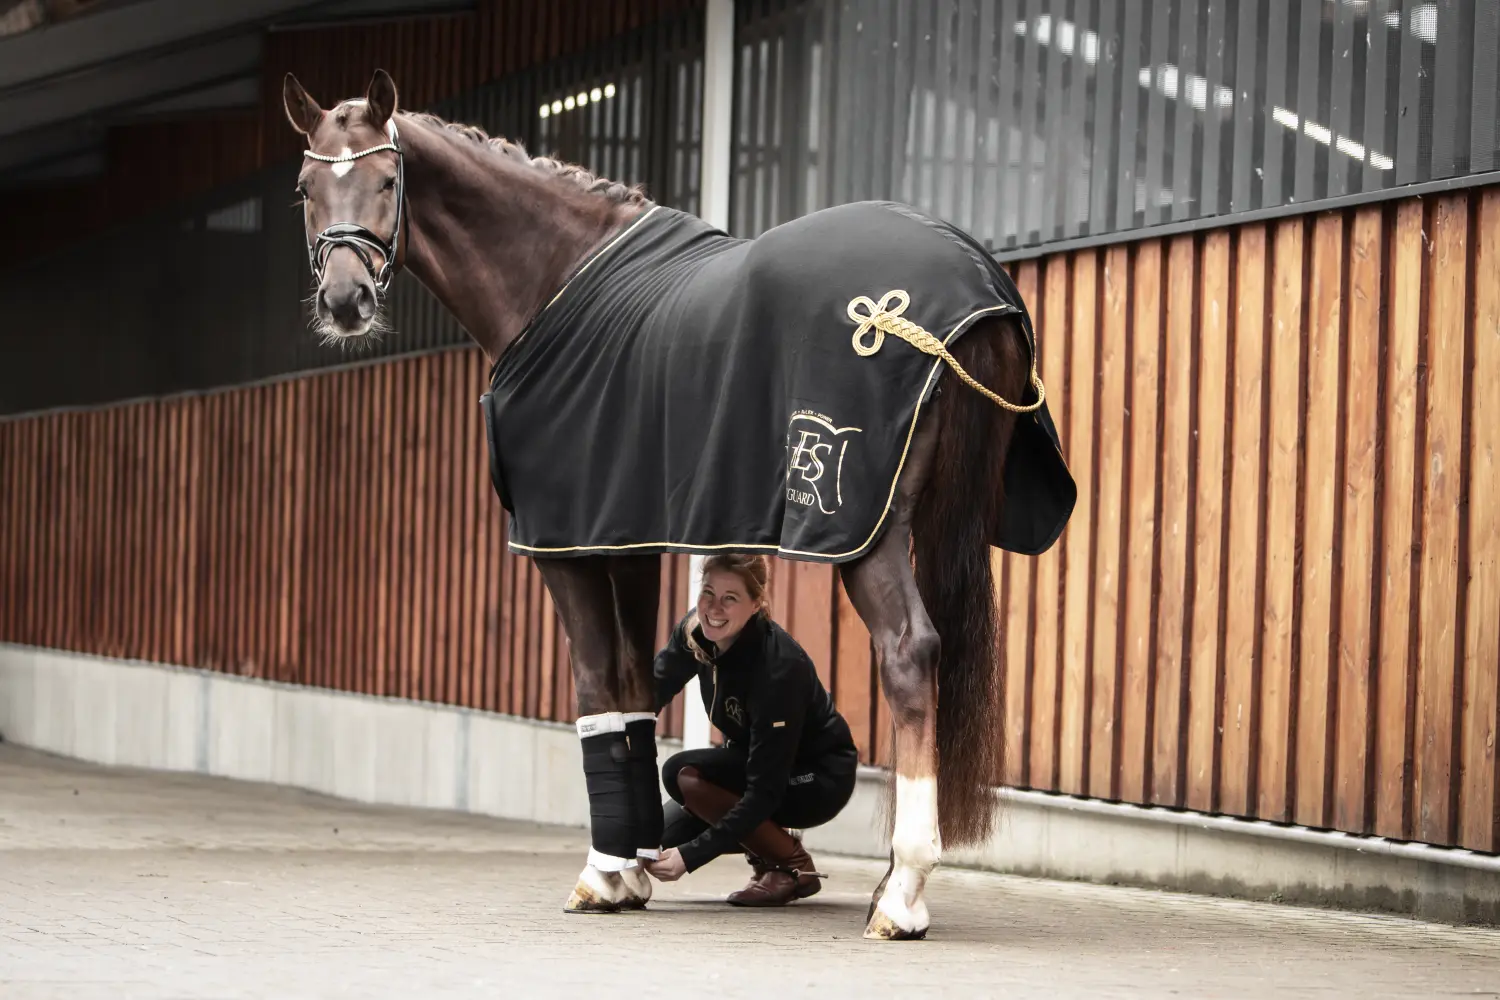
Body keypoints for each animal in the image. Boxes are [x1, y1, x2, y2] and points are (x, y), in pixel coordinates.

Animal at [281, 68, 1074, 941]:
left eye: (389, 181)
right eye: (306, 187)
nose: (345, 299)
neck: (555, 280)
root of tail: (977, 282)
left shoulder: (567, 546)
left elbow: (596, 683)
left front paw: (603, 874)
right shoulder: (624, 536)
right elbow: (634, 687)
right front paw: (630, 868)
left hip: (862, 532)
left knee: (909, 653)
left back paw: (902, 894)